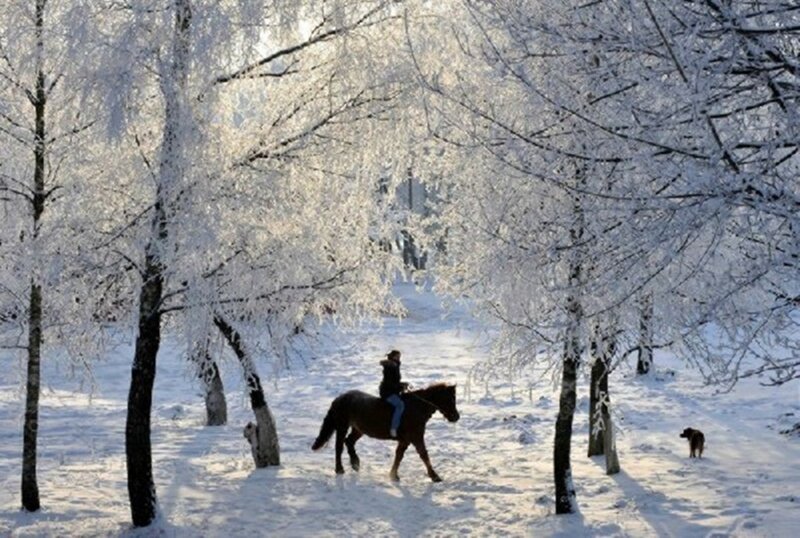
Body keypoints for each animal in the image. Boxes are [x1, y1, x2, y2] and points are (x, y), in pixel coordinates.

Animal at [312, 383, 460, 482]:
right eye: (450, 399)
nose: (456, 417)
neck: (416, 408)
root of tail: (338, 399)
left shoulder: (405, 440)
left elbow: (399, 455)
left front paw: (393, 475)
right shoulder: (416, 437)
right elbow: (423, 454)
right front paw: (435, 476)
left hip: (359, 429)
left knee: (349, 441)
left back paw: (355, 463)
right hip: (342, 426)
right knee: (339, 446)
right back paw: (340, 469)